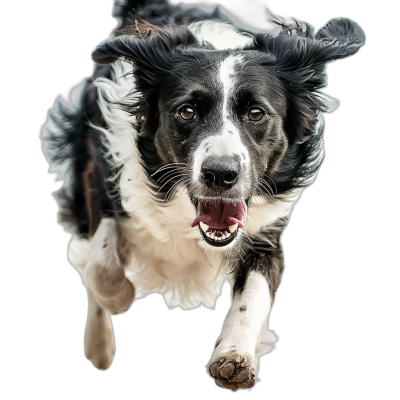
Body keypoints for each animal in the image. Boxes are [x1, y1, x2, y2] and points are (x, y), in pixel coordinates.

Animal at [40, 0, 366, 392]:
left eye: (256, 113)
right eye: (187, 111)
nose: (220, 174)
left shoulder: (264, 234)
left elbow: (255, 294)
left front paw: (235, 355)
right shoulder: (98, 169)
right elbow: (103, 269)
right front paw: (118, 300)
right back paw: (99, 345)